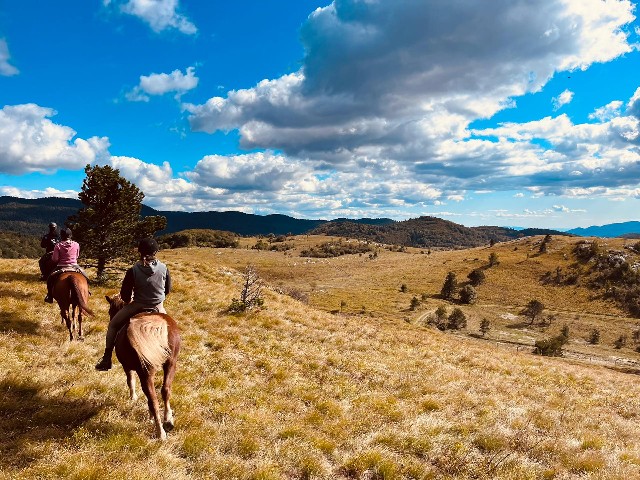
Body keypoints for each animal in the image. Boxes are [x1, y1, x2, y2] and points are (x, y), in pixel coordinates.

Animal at [105, 294, 181, 440]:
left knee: (153, 400)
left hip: (145, 372)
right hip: (171, 363)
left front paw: (133, 398)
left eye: (110, 311)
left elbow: (130, 381)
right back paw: (168, 421)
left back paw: (160, 433)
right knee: (165, 390)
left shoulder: (127, 367)